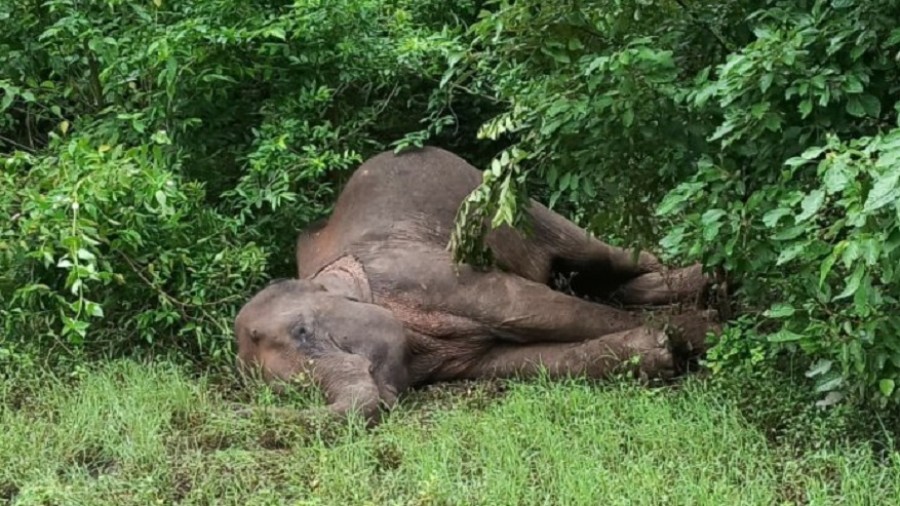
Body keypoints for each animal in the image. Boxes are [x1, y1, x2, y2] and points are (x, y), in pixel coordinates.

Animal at [236, 145, 720, 422]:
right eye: (291, 392)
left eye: (304, 331)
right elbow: (519, 360)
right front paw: (660, 351)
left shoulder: (423, 274)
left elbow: (529, 307)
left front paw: (701, 335)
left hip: (513, 203)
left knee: (597, 255)